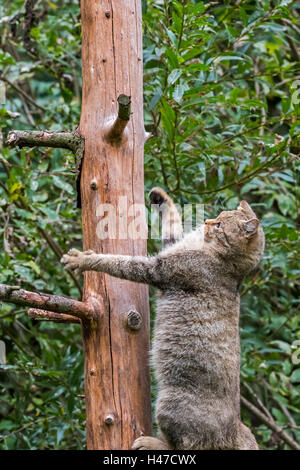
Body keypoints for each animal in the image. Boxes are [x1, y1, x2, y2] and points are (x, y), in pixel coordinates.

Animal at [61, 186, 264, 448]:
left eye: (220, 225)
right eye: (217, 216)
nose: (207, 222)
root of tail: (238, 428)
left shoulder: (158, 269)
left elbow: (117, 262)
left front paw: (82, 259)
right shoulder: (172, 245)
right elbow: (172, 223)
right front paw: (159, 195)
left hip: (170, 404)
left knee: (183, 444)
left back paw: (149, 442)